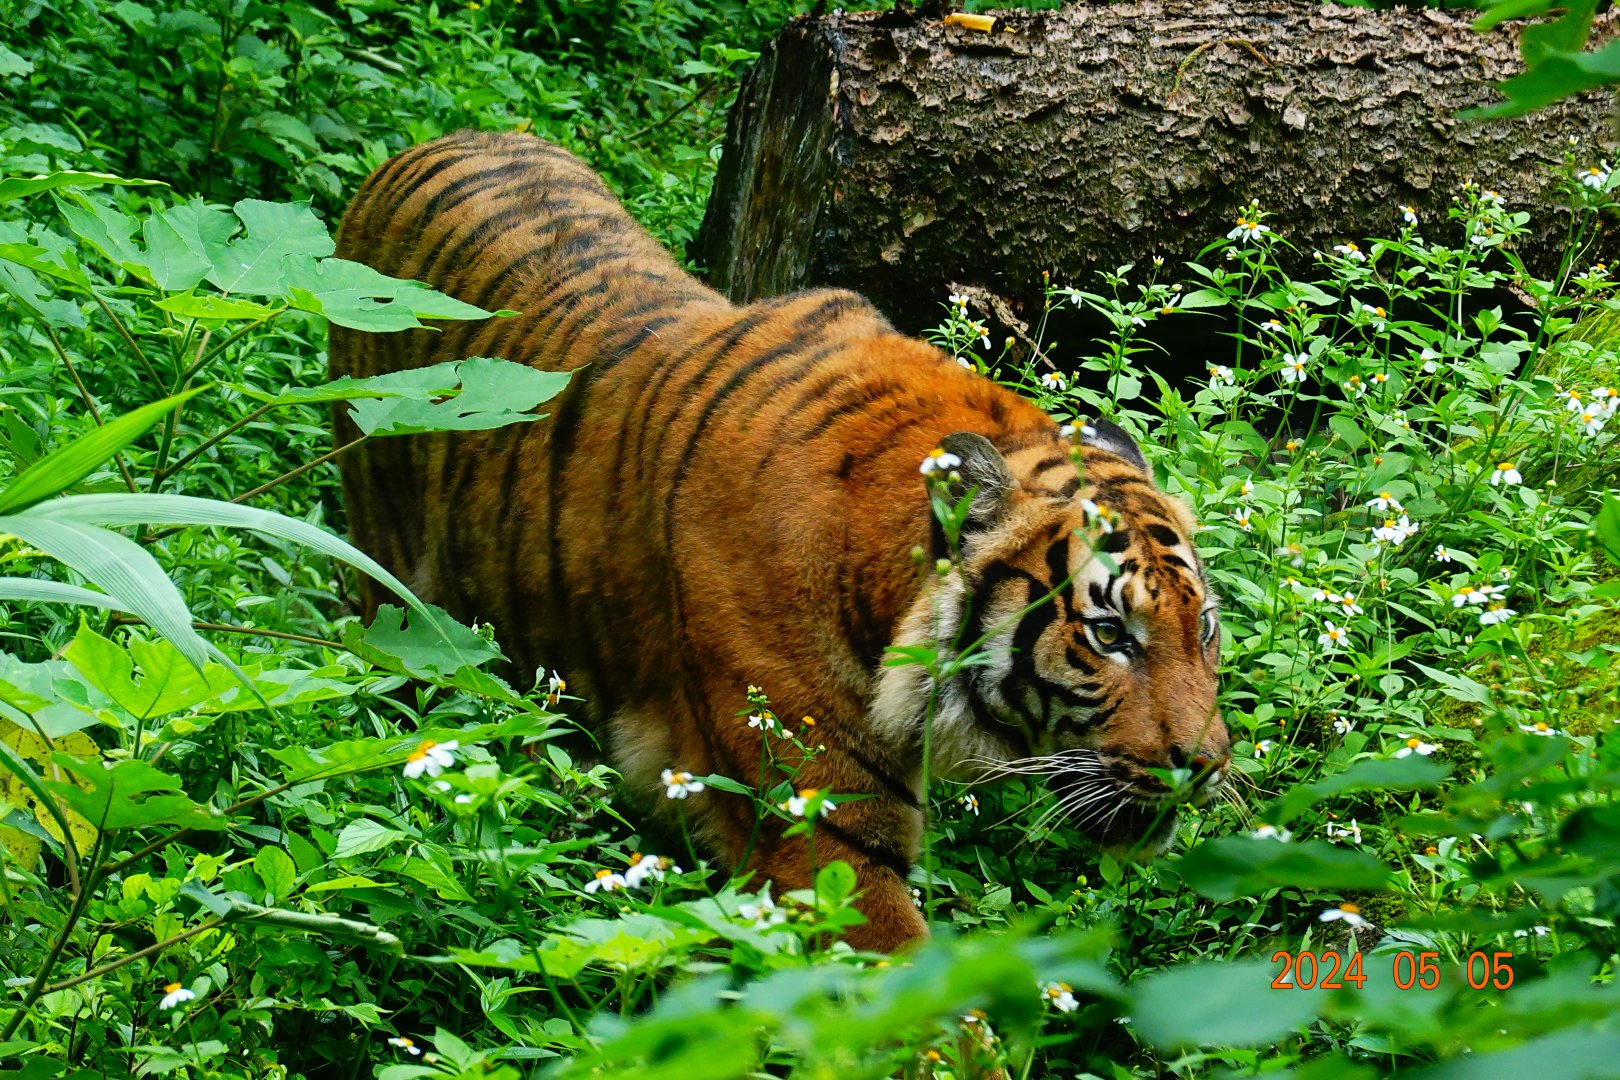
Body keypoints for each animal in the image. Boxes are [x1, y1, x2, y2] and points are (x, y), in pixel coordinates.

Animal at [329, 130, 1230, 952]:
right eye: (1108, 634)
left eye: (1205, 627)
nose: (1208, 766)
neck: (878, 579)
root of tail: (423, 147)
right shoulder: (822, 835)